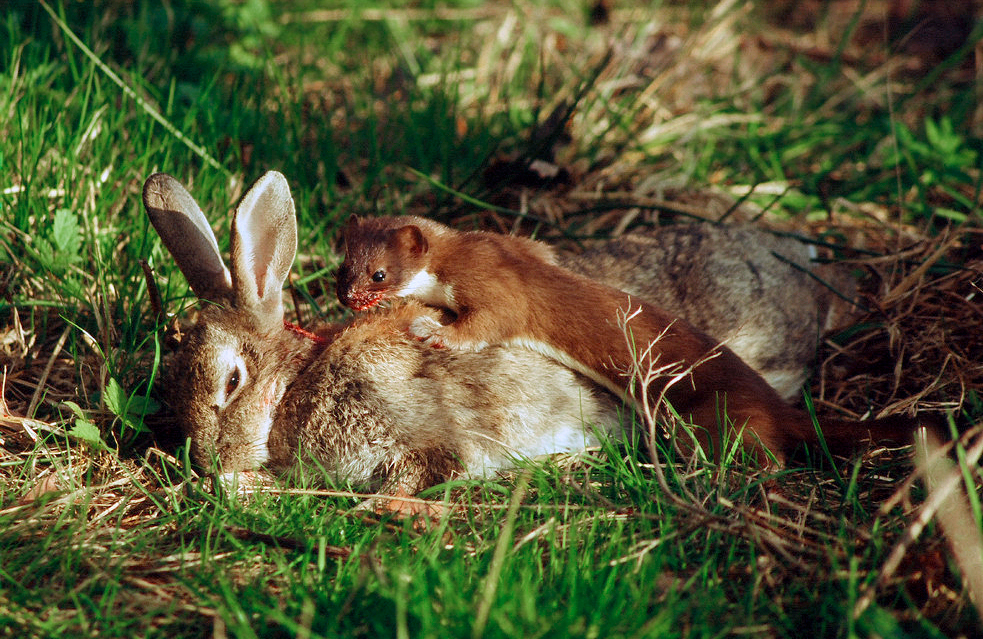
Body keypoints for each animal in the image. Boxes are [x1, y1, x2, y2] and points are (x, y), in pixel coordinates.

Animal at [338, 215, 932, 464]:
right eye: (343, 266)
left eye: (378, 275)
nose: (347, 297)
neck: (463, 251)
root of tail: (775, 404)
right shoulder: (519, 246)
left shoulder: (495, 279)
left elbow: (490, 321)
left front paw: (431, 328)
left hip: (719, 415)